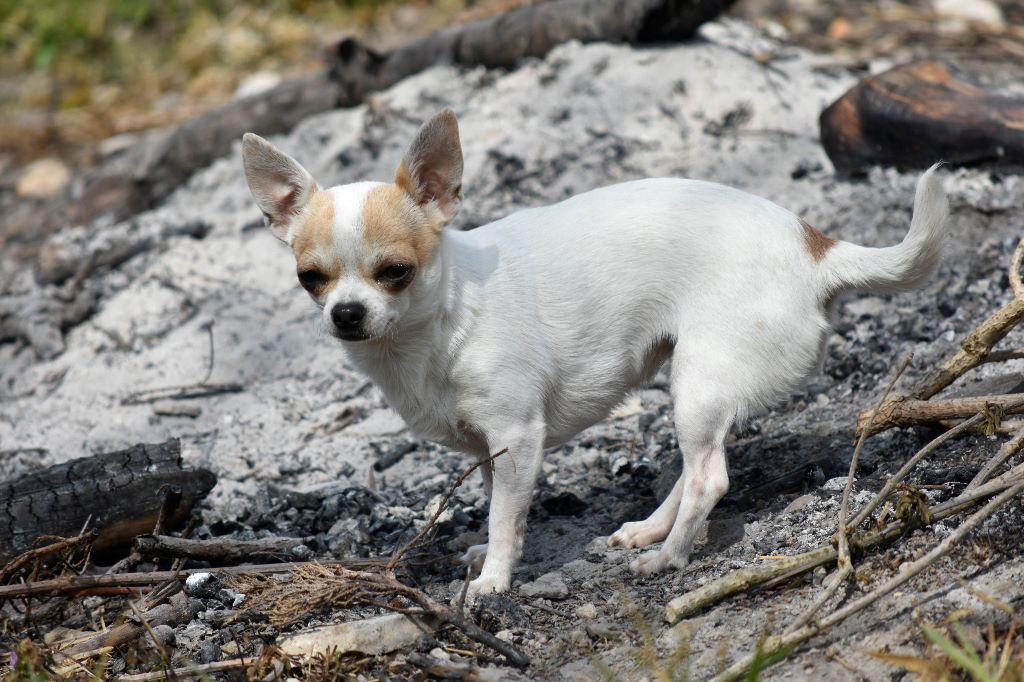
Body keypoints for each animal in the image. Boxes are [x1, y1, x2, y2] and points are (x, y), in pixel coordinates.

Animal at [243, 109, 946, 593]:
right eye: (311, 278)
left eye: (395, 272)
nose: (347, 313)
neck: (444, 316)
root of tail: (816, 247)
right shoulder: (493, 448)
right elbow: (499, 503)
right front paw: (488, 554)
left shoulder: (516, 436)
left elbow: (504, 515)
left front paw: (494, 580)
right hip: (697, 384)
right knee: (698, 466)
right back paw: (653, 530)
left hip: (699, 379)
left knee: (710, 476)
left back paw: (669, 556)